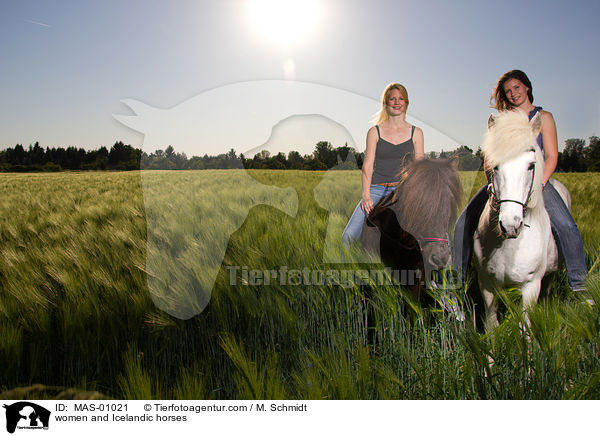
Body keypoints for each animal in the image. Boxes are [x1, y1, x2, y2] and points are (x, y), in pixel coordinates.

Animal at [476, 110, 568, 332]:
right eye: (494, 165)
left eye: (531, 166)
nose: (510, 225)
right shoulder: (486, 285)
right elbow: (491, 326)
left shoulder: (531, 286)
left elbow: (524, 327)